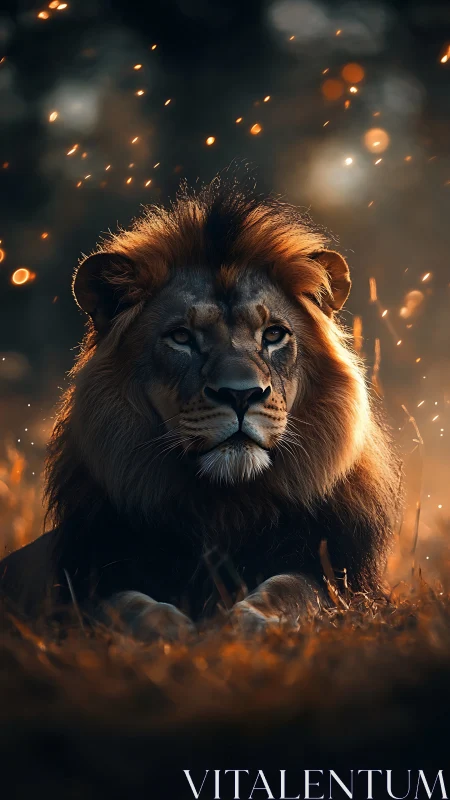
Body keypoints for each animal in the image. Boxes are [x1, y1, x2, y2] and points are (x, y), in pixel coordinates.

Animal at [0, 177, 399, 637]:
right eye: (181, 337)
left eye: (274, 334)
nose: (241, 394)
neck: (223, 506)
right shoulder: (85, 585)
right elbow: (124, 604)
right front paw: (174, 631)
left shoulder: (349, 584)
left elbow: (295, 589)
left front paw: (249, 619)